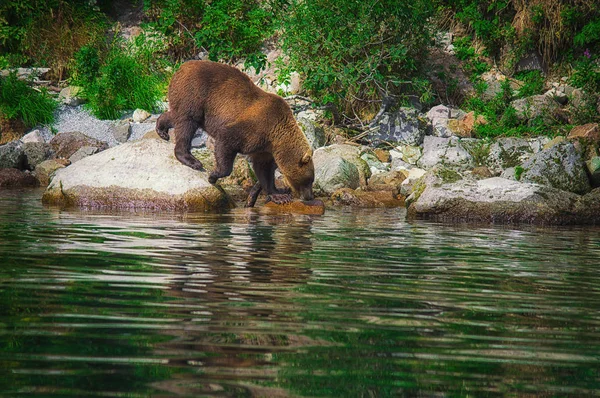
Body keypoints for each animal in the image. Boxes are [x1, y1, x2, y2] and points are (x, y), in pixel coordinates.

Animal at [156, 61, 314, 208]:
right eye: (308, 180)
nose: (309, 197)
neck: (277, 137)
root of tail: (181, 67)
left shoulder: (265, 147)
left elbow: (263, 168)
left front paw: (279, 195)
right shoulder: (257, 127)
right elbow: (226, 140)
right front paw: (213, 176)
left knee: (177, 116)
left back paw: (161, 129)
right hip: (194, 93)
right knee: (186, 123)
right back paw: (191, 160)